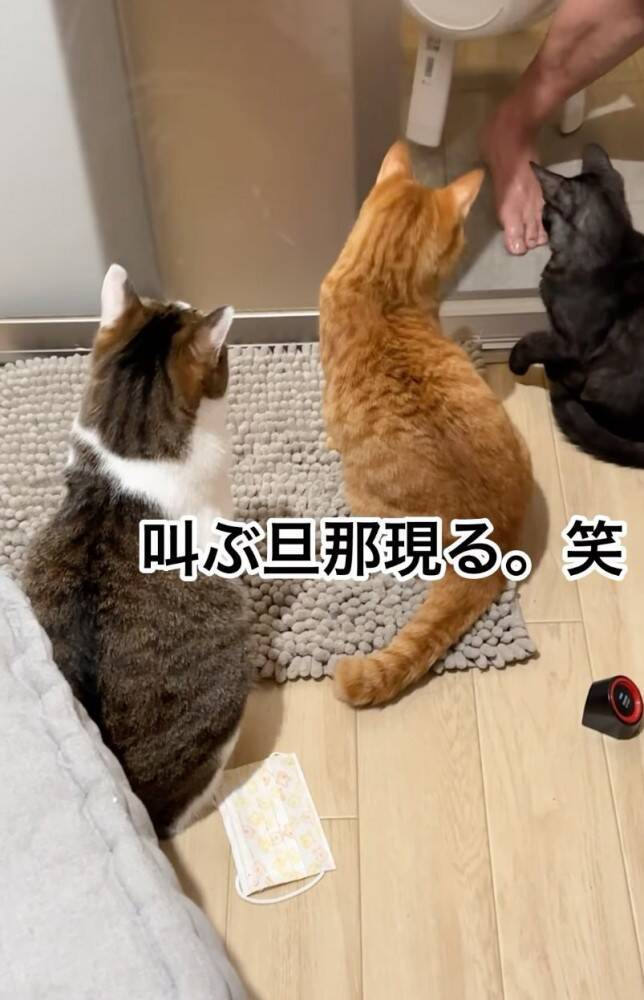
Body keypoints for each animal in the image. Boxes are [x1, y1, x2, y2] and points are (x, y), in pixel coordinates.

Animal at [509, 143, 644, 468]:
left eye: (545, 211)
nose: (540, 216)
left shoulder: (568, 341)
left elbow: (530, 341)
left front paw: (516, 363)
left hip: (602, 379)